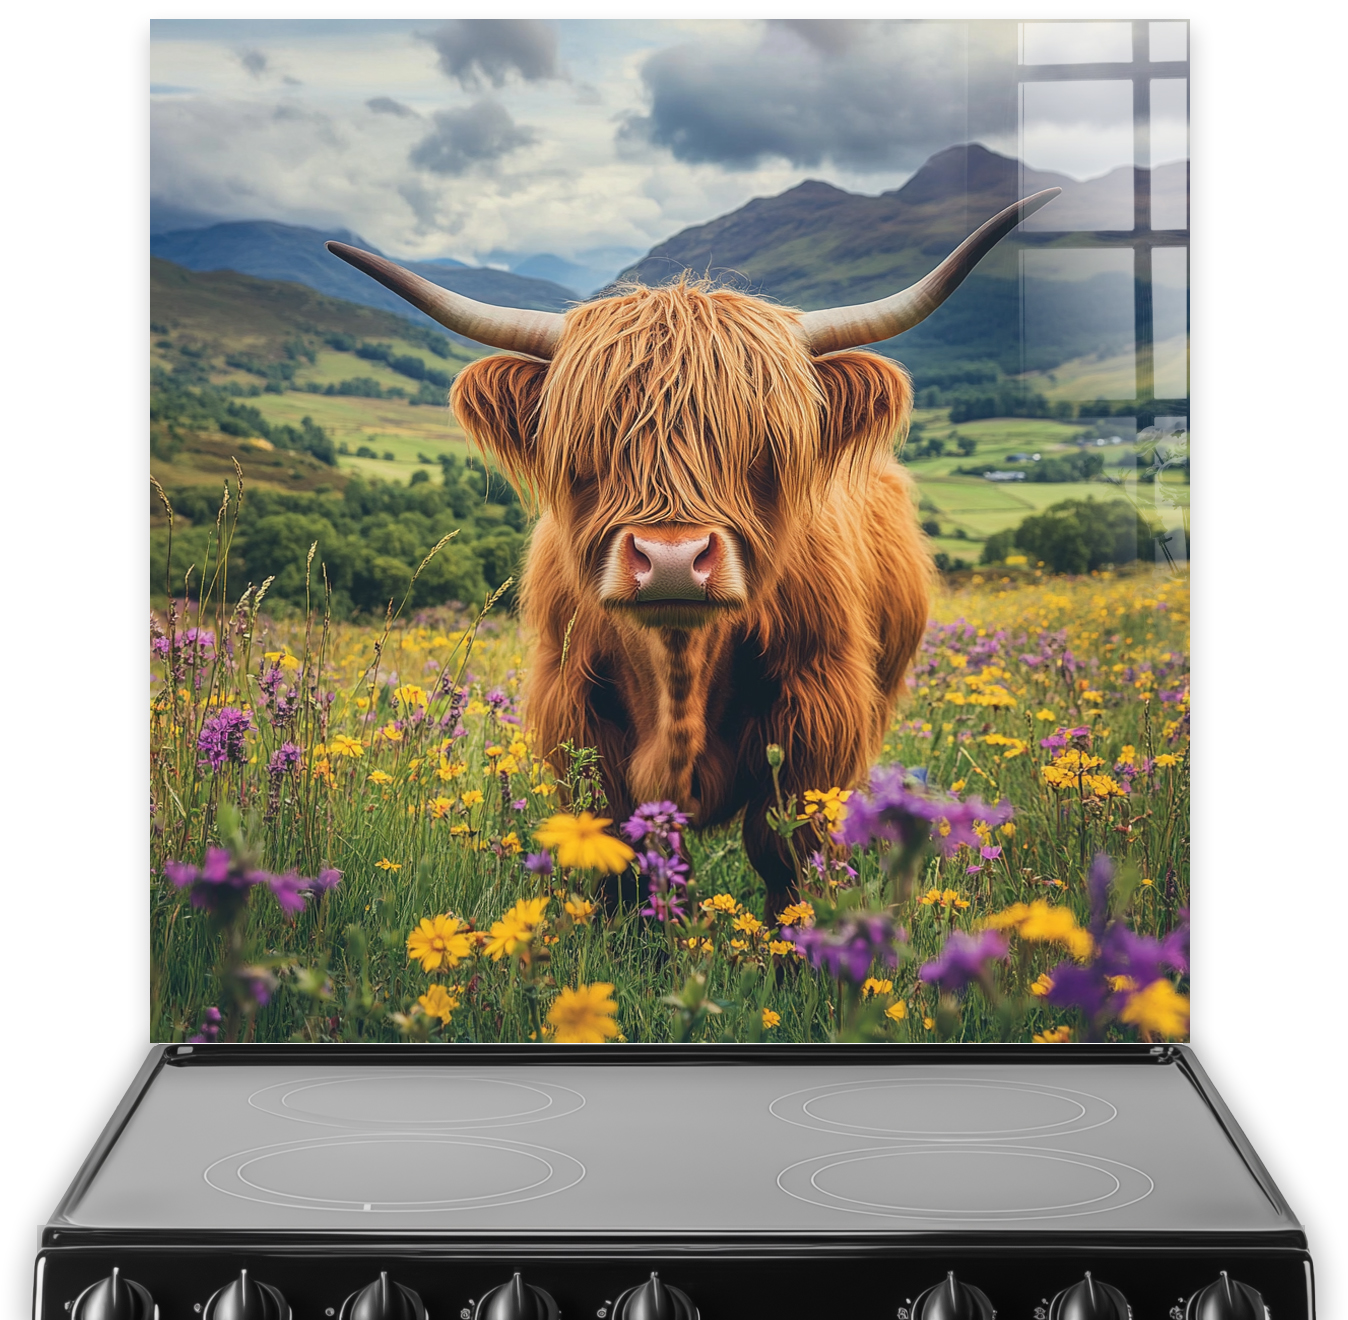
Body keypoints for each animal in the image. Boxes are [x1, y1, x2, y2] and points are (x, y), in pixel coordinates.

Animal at [327, 188, 1057, 916]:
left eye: (763, 443)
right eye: (591, 444)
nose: (672, 561)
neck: (678, 674)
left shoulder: (820, 715)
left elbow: (788, 850)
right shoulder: (576, 714)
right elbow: (621, 853)